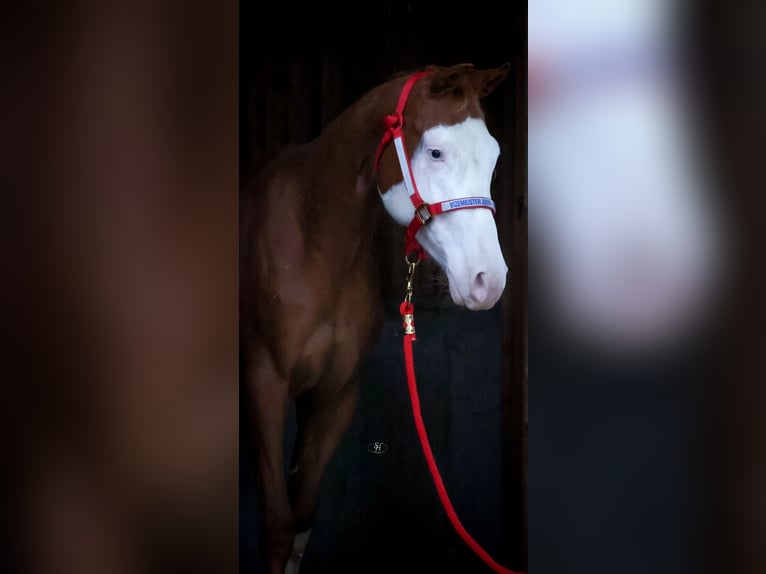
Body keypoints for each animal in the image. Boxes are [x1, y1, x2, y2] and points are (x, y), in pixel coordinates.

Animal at [240, 63, 510, 574]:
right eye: (436, 151)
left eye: (493, 155)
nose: (489, 280)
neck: (315, 243)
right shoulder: (264, 386)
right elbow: (278, 527)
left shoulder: (335, 395)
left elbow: (301, 517)